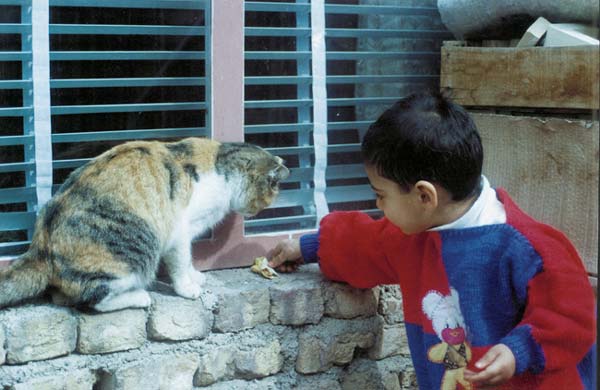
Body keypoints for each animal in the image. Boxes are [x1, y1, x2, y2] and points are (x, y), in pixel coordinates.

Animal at [0, 139, 288, 312]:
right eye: (271, 192)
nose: (258, 211)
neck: (220, 165)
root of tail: (40, 245)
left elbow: (189, 260)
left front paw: (195, 275)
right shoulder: (179, 231)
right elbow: (181, 262)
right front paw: (188, 288)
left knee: (63, 297)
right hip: (138, 247)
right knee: (93, 300)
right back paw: (141, 296)